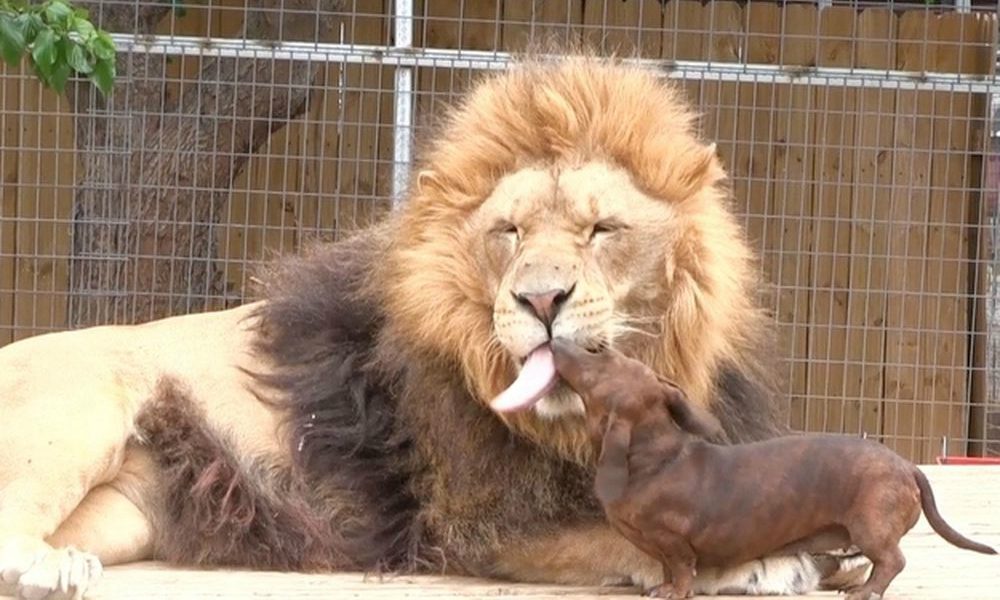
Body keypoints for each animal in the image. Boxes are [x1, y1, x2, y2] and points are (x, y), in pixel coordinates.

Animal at [0, 54, 868, 596]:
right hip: (78, 409)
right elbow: (628, 535)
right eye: (509, 232)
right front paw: (760, 562)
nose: (541, 301)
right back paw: (52, 572)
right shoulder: (479, 525)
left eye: (601, 230)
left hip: (125, 512)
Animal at [552, 340, 996, 596]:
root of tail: (907, 467)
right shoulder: (661, 548)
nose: (557, 339)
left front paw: (671, 591)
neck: (654, 458)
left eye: (598, 354)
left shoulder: (674, 542)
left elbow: (680, 570)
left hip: (870, 527)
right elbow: (664, 567)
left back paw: (865, 591)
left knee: (892, 561)